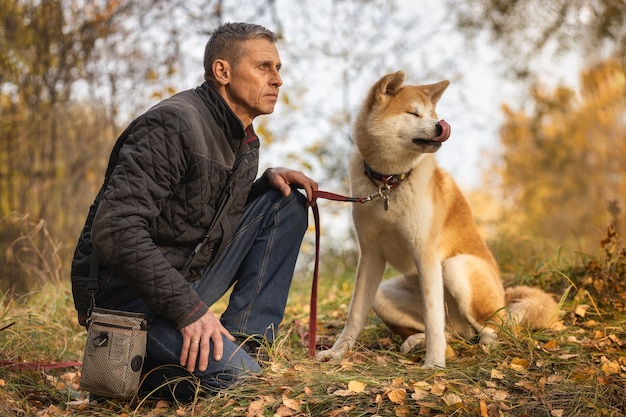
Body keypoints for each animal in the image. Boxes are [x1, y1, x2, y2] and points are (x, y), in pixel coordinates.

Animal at [316, 71, 556, 368]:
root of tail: (503, 294)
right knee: (455, 332)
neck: (389, 184)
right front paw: (338, 352)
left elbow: (432, 319)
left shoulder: (426, 254)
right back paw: (419, 341)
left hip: (455, 268)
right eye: (413, 113)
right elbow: (355, 315)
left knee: (494, 326)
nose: (441, 126)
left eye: (432, 114)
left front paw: (434, 363)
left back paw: (487, 341)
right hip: (384, 296)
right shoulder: (370, 254)